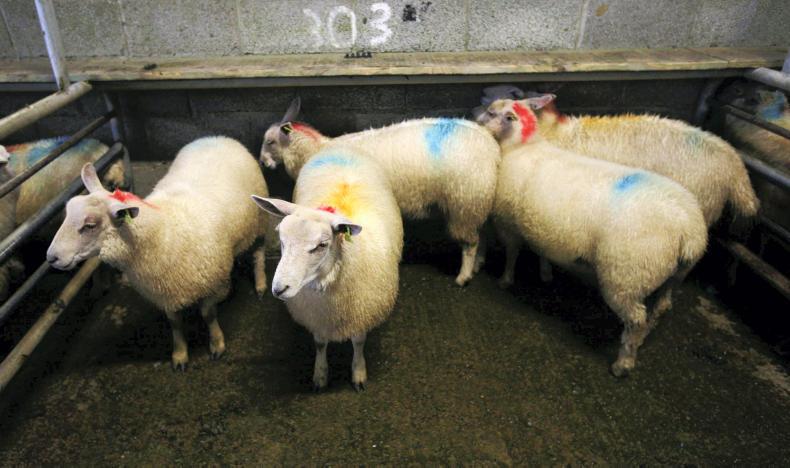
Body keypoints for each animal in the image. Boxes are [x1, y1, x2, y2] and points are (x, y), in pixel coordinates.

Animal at [46, 136, 269, 370]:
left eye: (90, 225)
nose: (51, 257)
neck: (164, 232)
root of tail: (218, 138)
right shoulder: (165, 291)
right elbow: (175, 323)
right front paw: (179, 354)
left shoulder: (212, 282)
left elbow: (208, 315)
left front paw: (216, 343)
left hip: (260, 221)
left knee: (258, 253)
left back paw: (260, 283)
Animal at [252, 145, 403, 391]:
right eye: (281, 238)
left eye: (321, 245)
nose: (279, 288)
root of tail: (341, 147)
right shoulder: (316, 317)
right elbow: (320, 344)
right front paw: (320, 375)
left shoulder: (360, 313)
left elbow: (358, 342)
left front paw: (358, 372)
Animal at [259, 98, 499, 286]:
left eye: (270, 141)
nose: (262, 162)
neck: (315, 150)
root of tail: (492, 147)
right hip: (479, 201)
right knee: (483, 234)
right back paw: (478, 265)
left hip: (464, 203)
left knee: (470, 243)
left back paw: (464, 276)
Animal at [478, 96, 708, 376]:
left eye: (497, 114)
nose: (479, 118)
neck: (522, 147)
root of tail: (689, 229)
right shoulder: (542, 229)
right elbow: (543, 251)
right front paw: (545, 273)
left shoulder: (507, 224)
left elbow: (512, 255)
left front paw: (505, 280)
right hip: (673, 274)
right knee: (661, 305)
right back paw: (643, 338)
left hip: (626, 276)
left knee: (635, 319)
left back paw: (623, 362)